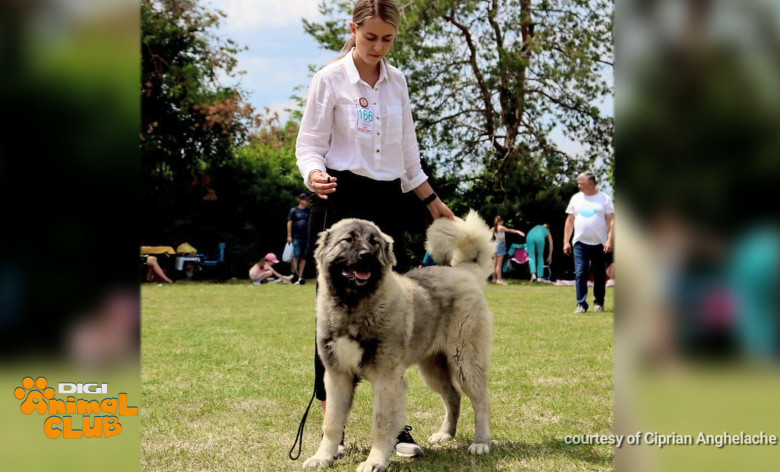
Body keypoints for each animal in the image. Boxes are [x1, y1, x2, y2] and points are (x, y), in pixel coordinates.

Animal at [304, 211, 494, 472]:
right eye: (348, 240)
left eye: (374, 242)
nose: (366, 255)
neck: (353, 306)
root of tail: (463, 270)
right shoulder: (337, 376)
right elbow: (331, 422)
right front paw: (323, 456)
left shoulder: (387, 379)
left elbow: (382, 423)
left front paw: (374, 461)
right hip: (433, 368)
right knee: (453, 396)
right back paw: (445, 434)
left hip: (464, 361)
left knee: (481, 400)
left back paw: (481, 443)